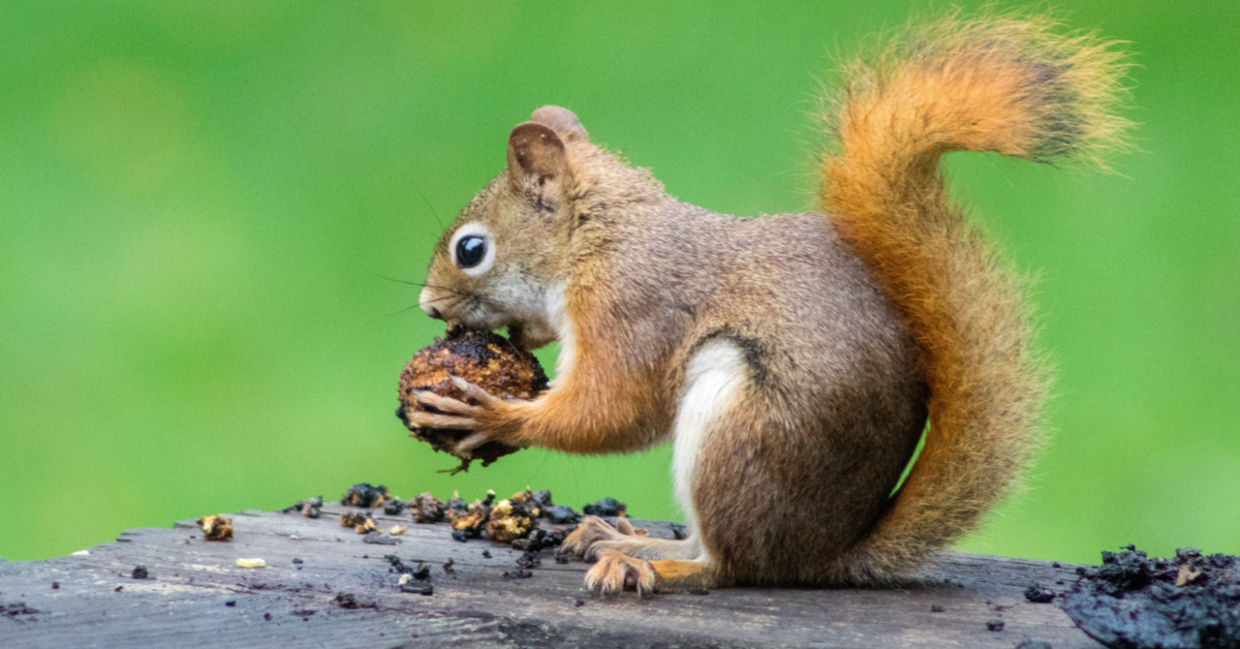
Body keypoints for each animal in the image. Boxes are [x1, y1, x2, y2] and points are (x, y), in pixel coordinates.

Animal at [406, 14, 1129, 594]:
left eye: (471, 249)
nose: (428, 306)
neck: (600, 238)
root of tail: (823, 555)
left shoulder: (632, 306)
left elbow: (615, 410)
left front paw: (492, 413)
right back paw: (622, 536)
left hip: (737, 427)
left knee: (729, 566)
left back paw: (652, 562)